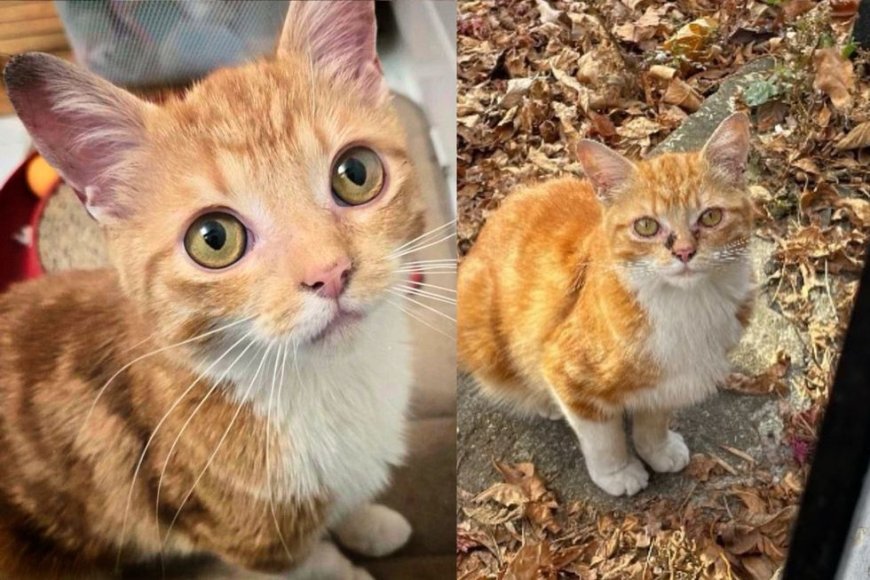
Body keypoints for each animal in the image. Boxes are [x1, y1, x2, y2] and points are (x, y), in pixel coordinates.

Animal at [0, 2, 426, 576]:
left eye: (355, 173)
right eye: (214, 238)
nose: (331, 271)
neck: (328, 382)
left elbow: (345, 501)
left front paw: (368, 521)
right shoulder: (248, 534)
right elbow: (311, 558)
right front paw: (347, 565)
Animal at [460, 114, 752, 498]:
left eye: (711, 217)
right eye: (646, 226)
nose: (685, 252)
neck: (687, 304)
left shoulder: (666, 380)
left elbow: (654, 420)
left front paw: (658, 449)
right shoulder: (567, 370)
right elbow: (603, 438)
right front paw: (618, 472)